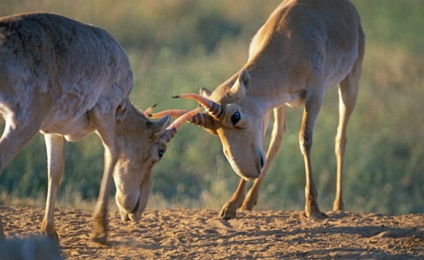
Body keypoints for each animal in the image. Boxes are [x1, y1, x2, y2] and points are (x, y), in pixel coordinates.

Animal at [0, 12, 199, 244]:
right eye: (161, 152)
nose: (137, 211)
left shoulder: (52, 129)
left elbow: (55, 170)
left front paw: (49, 232)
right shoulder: (105, 109)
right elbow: (112, 154)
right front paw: (100, 231)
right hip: (23, 122)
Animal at [169, 0, 364, 218]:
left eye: (235, 116)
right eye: (212, 130)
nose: (249, 171)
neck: (287, 38)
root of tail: (350, 8)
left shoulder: (315, 93)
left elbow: (305, 139)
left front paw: (313, 208)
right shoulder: (268, 103)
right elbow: (266, 140)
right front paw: (231, 205)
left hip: (351, 79)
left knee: (341, 137)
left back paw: (338, 205)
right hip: (281, 105)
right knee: (277, 138)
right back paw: (249, 201)